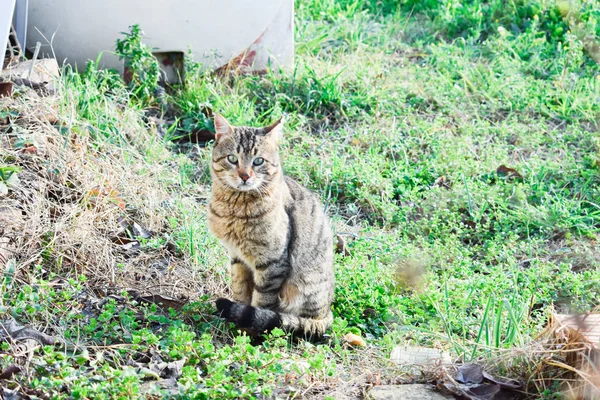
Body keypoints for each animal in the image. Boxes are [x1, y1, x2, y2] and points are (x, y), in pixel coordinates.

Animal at [209, 114, 336, 340]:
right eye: (232, 159)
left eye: (258, 161)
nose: (244, 176)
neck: (235, 207)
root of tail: (327, 313)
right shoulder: (237, 257)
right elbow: (240, 290)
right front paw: (236, 323)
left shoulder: (272, 262)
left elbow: (261, 301)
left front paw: (250, 335)